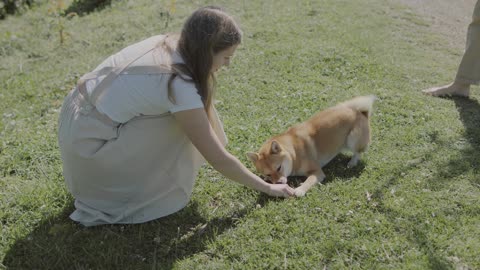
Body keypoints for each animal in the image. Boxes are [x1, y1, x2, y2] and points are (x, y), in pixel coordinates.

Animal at [248, 96, 376, 197]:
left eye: (279, 168)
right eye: (268, 174)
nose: (279, 183)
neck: (294, 154)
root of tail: (359, 111)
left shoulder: (317, 172)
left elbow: (309, 181)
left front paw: (300, 190)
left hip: (352, 138)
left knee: (358, 152)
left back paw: (352, 162)